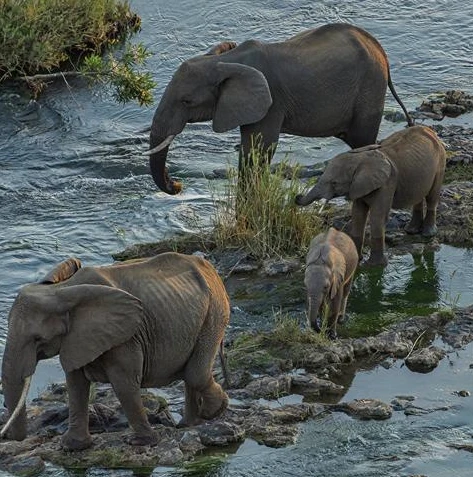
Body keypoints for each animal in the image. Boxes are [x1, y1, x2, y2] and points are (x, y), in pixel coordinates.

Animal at [0, 253, 229, 450]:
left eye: (38, 339)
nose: (10, 437)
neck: (61, 289)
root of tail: (210, 268)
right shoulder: (76, 338)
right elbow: (75, 384)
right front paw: (72, 446)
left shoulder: (125, 337)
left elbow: (123, 383)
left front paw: (140, 442)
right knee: (191, 374)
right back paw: (188, 425)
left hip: (215, 311)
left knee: (195, 373)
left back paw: (214, 412)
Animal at [142, 23, 412, 194]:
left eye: (186, 101)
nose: (177, 185)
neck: (223, 61)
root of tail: (379, 49)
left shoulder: (271, 103)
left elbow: (259, 149)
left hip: (370, 87)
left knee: (363, 140)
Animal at [296, 124, 446, 266]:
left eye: (334, 183)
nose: (297, 196)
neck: (359, 159)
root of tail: (431, 131)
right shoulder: (357, 186)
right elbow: (358, 215)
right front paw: (357, 260)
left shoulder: (387, 184)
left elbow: (377, 216)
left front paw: (375, 265)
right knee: (419, 196)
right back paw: (411, 230)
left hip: (440, 161)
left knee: (432, 196)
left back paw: (428, 233)